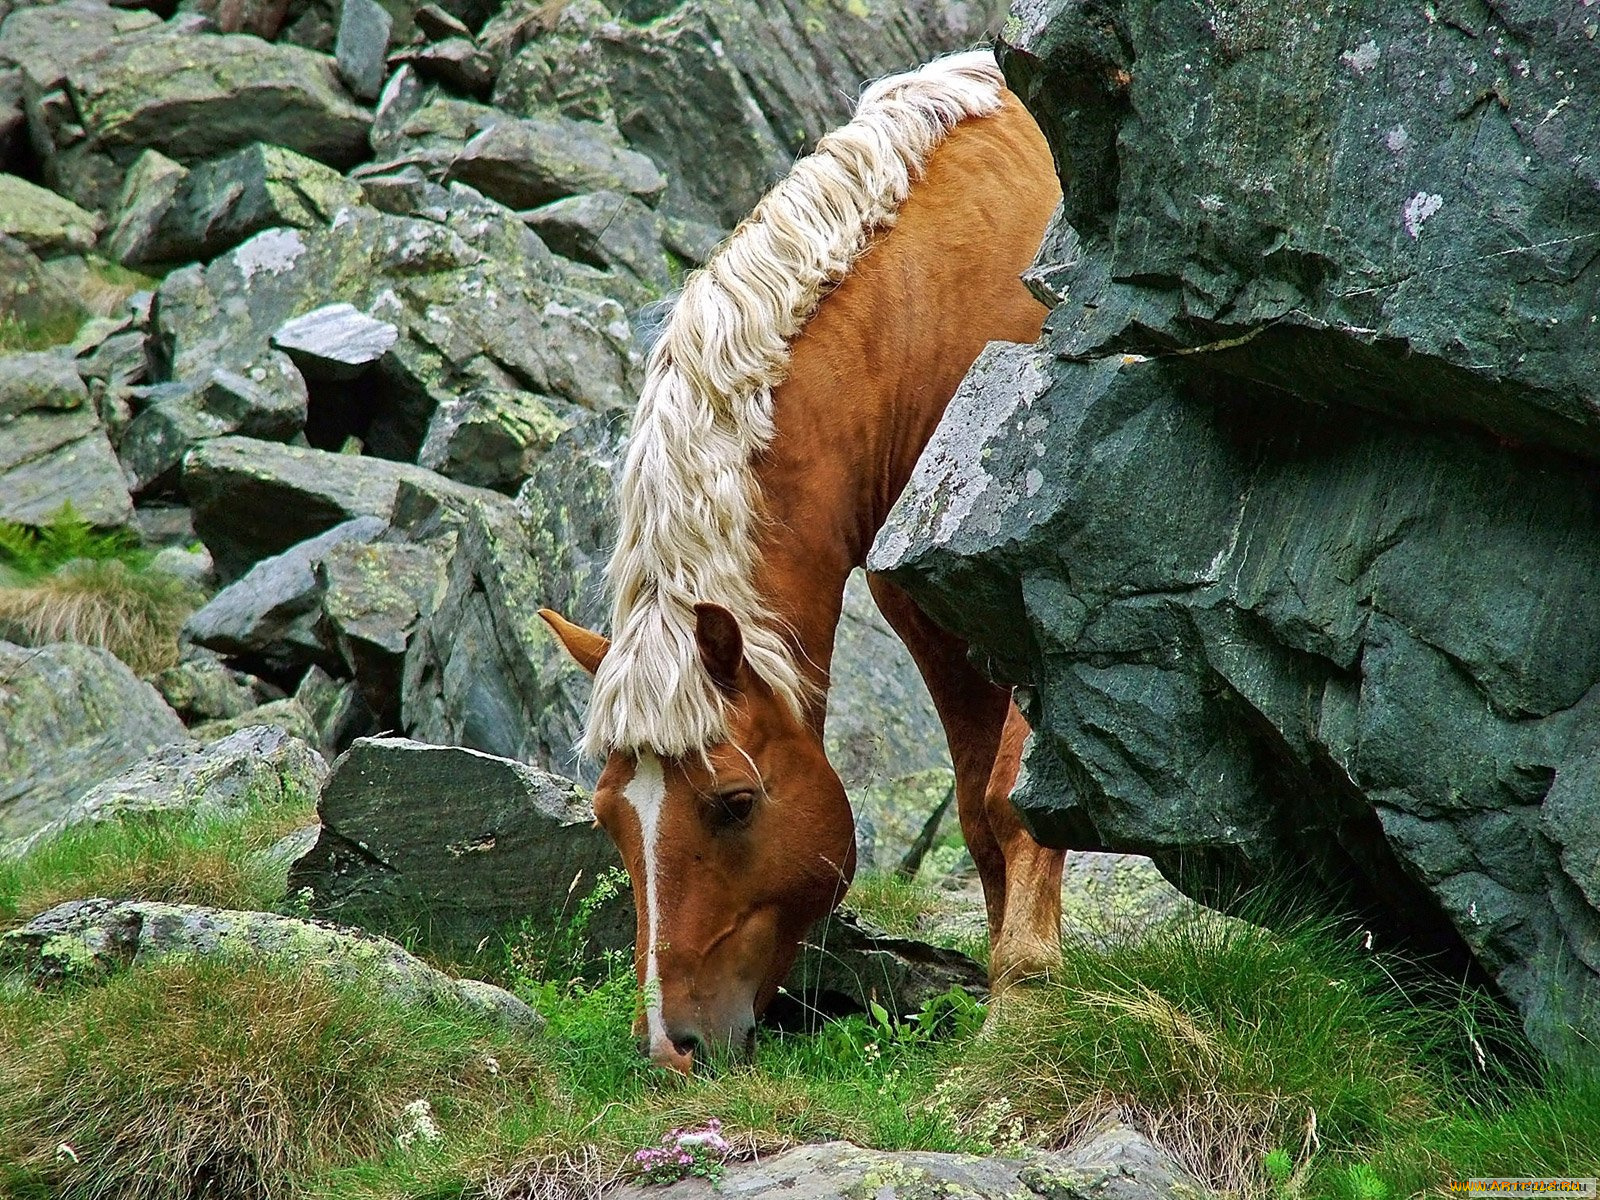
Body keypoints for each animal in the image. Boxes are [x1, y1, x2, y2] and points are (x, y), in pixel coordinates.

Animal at [544, 51, 1068, 1075]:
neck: (944, 299)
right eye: (609, 816)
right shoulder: (926, 610)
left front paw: (1030, 1003)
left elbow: (1017, 797)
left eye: (735, 803)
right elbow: (978, 813)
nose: (670, 1047)